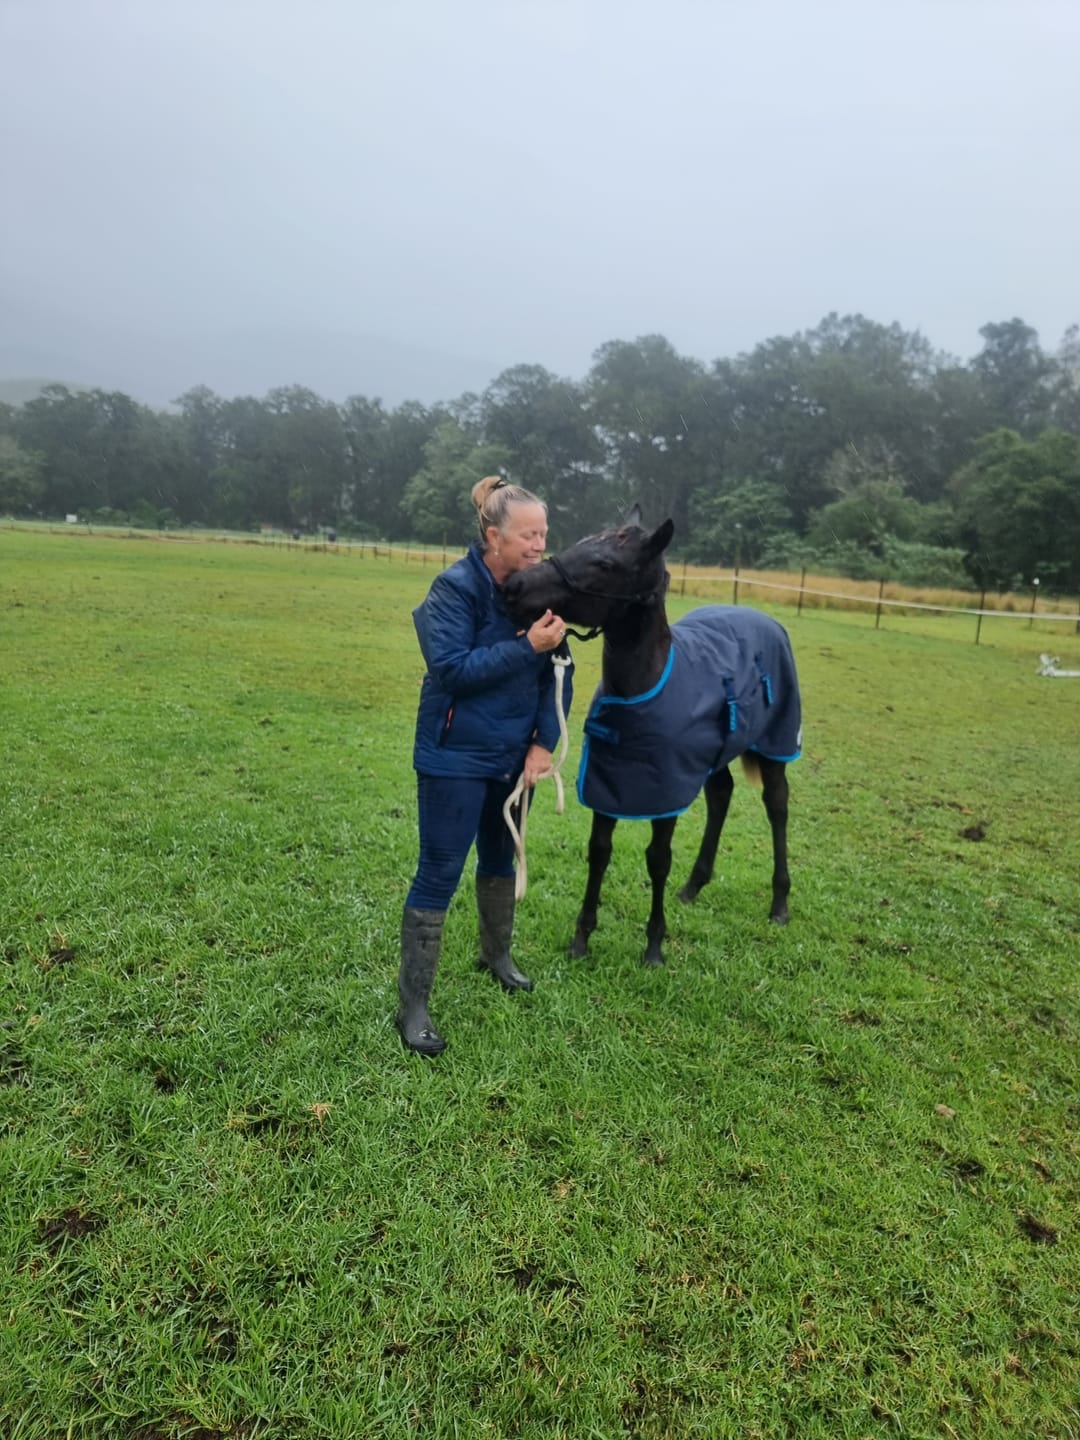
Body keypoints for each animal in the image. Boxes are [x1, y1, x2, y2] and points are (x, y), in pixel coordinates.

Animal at [503, 510, 801, 966]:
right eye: (582, 543)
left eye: (606, 563)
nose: (514, 586)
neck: (639, 689)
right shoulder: (607, 788)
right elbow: (599, 851)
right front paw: (581, 939)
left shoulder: (666, 796)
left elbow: (658, 860)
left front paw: (655, 946)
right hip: (715, 755)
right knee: (721, 796)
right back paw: (694, 886)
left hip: (774, 747)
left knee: (777, 806)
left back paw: (779, 903)